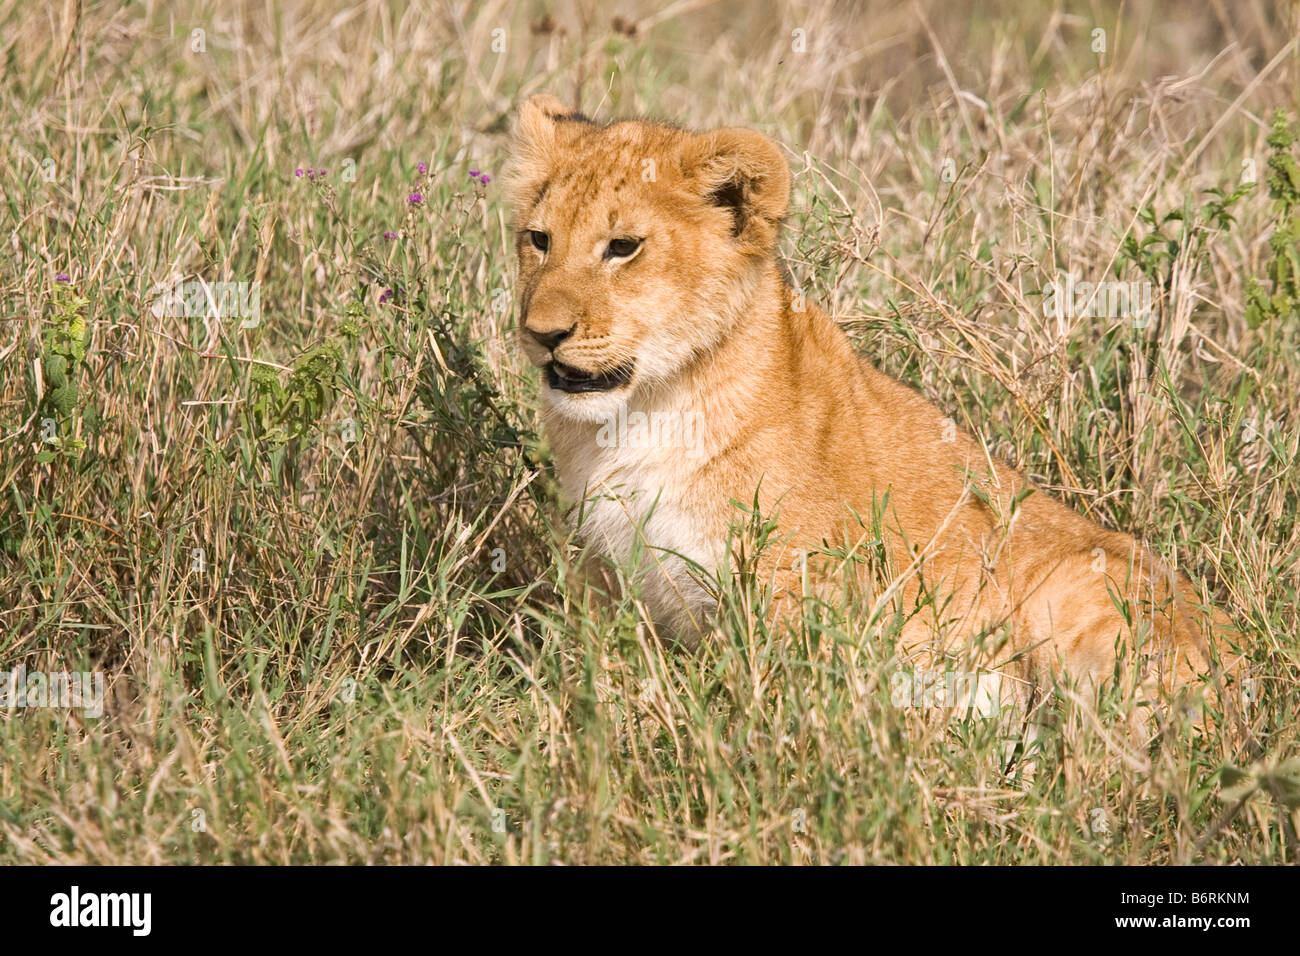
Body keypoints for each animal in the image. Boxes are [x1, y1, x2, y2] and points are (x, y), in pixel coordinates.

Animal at [505, 93, 1243, 723]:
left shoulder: (793, 598)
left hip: (1072, 588)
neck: (638, 418)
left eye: (623, 247)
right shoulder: (603, 585)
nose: (541, 333)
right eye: (539, 239)